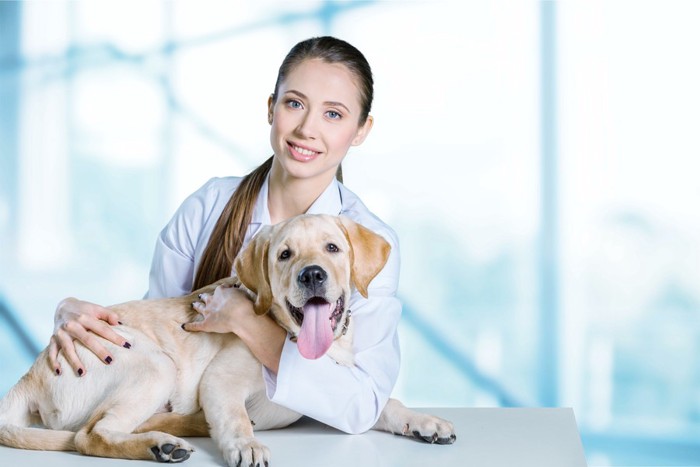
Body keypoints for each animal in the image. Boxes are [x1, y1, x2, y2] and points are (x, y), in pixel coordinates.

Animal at [0, 214, 456, 466]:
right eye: (284, 255)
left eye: (332, 248)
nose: (312, 275)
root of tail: (29, 375)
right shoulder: (221, 381)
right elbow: (235, 416)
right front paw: (246, 445)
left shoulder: (343, 394)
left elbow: (384, 403)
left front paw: (425, 421)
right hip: (154, 363)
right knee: (89, 435)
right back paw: (161, 445)